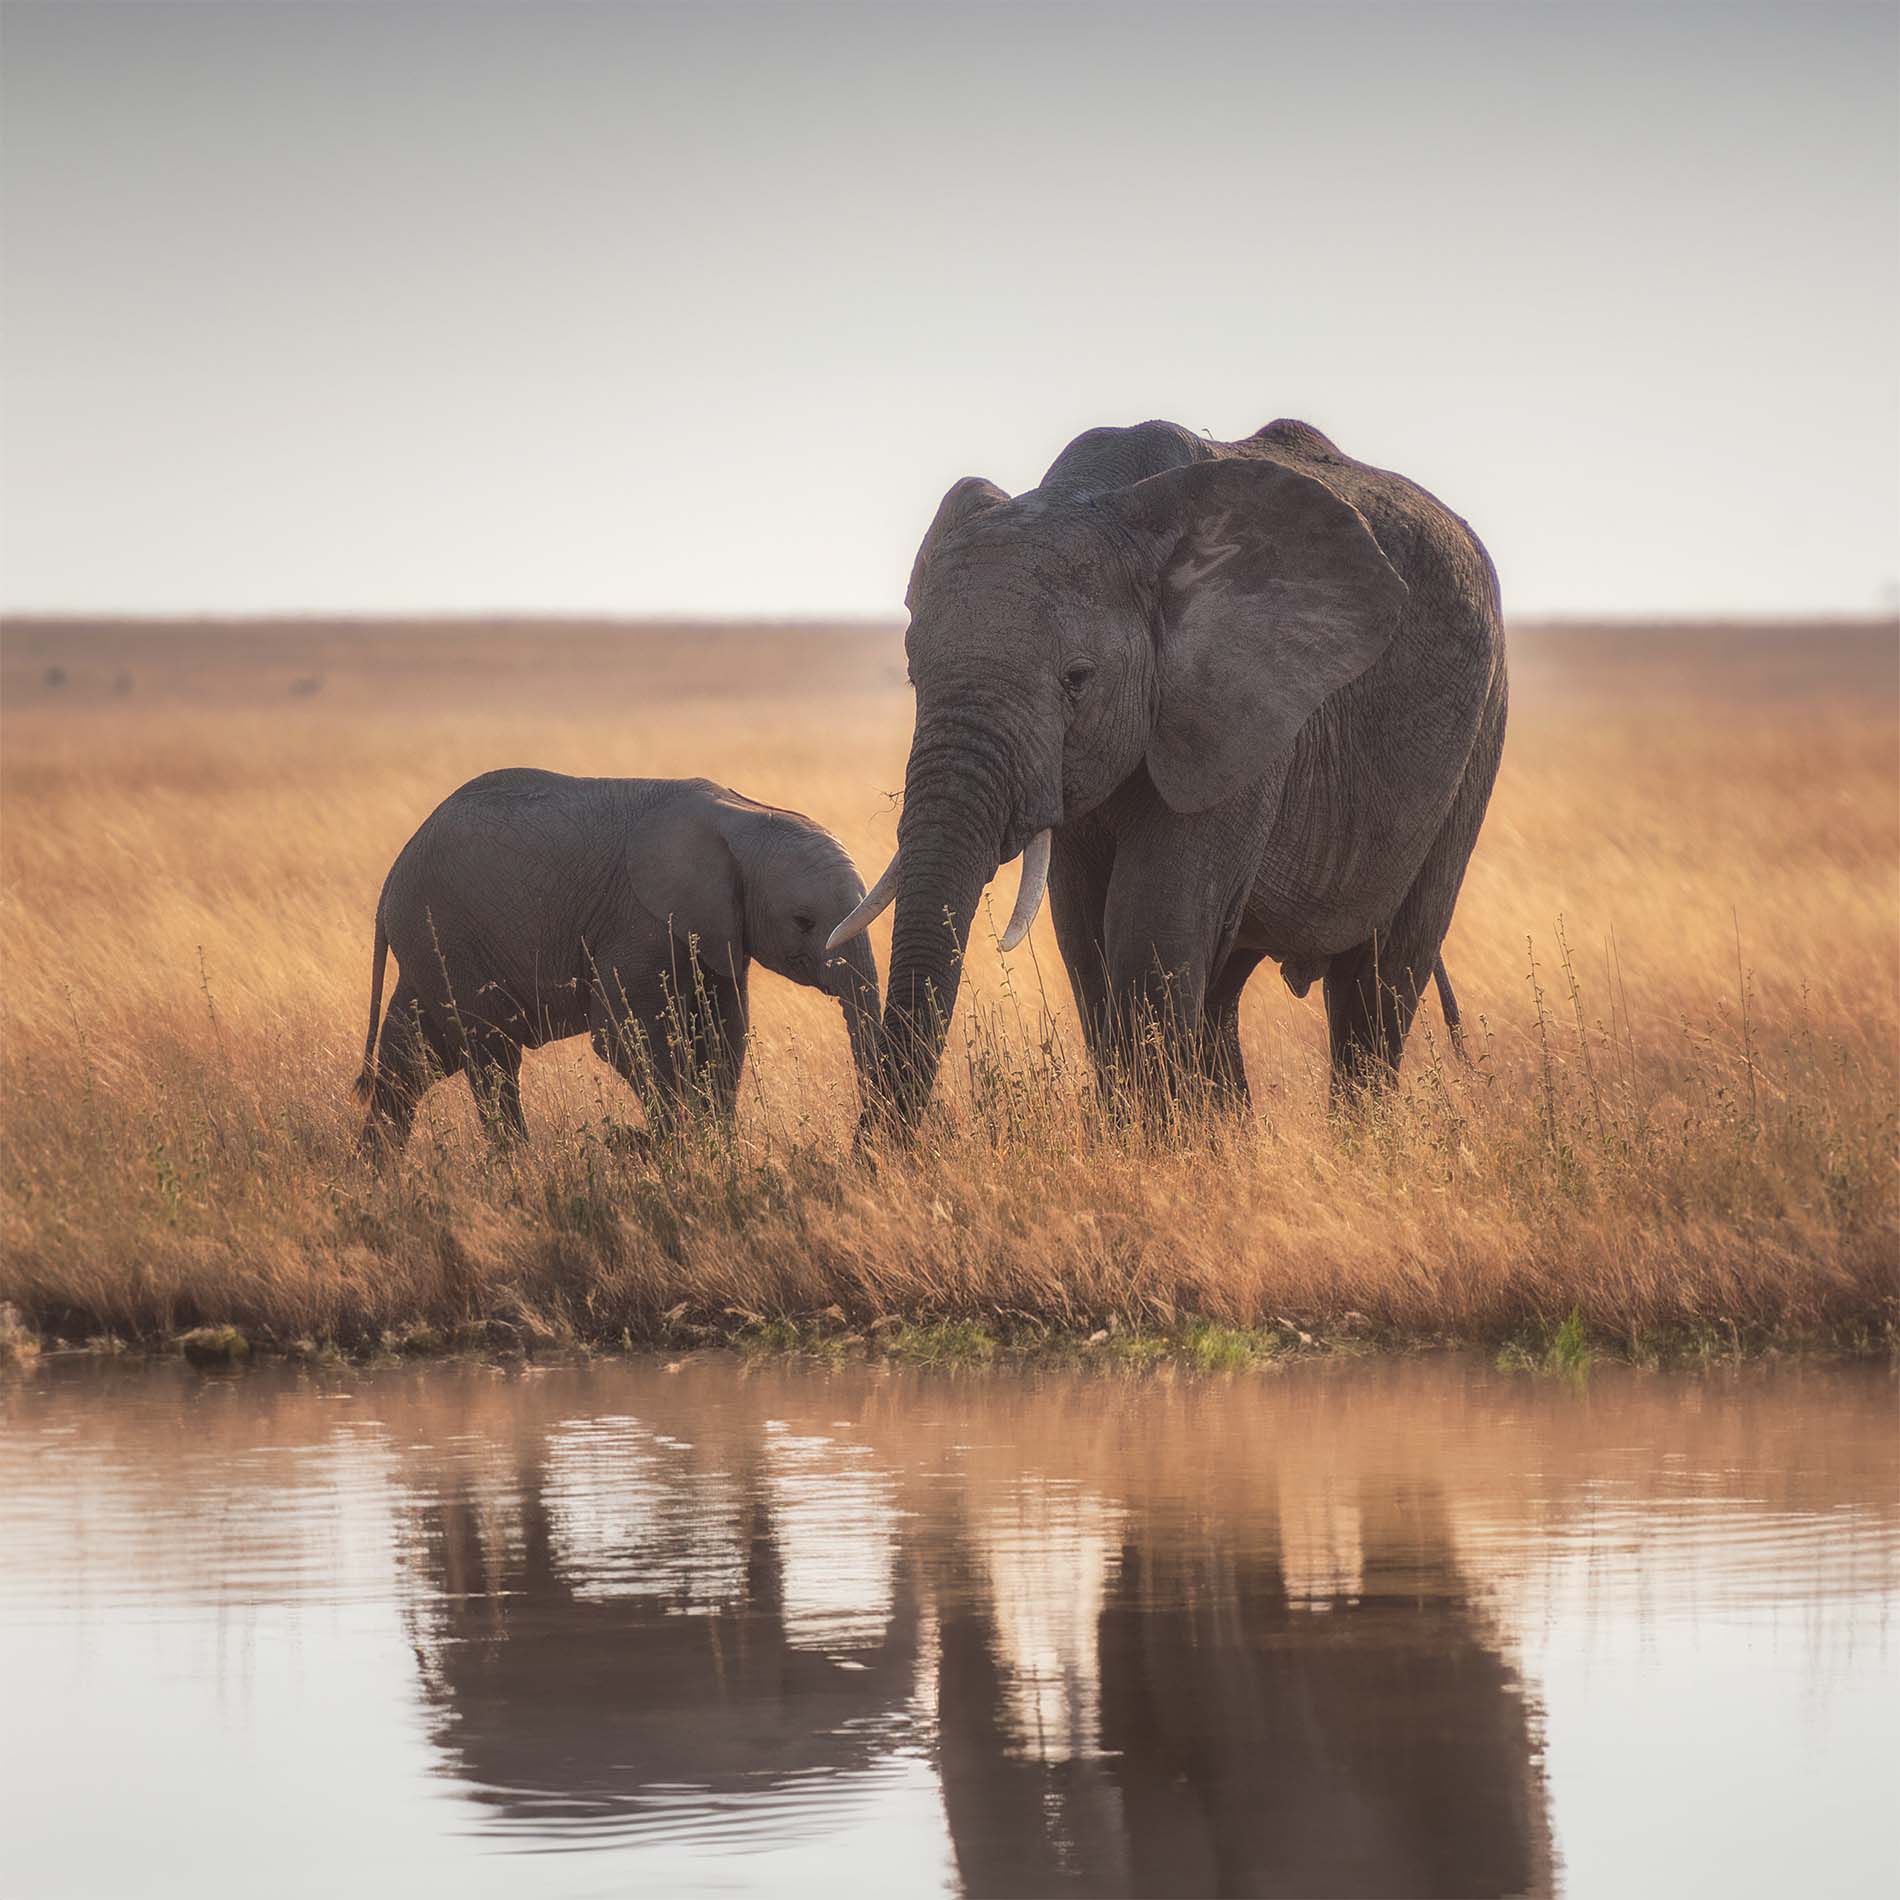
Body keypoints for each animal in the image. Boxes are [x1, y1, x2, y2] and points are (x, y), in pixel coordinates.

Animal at [357, 767, 881, 1147]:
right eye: (803, 921)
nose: (863, 1139)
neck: (745, 815)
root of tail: (392, 877)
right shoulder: (639, 921)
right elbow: (625, 1038)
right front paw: (676, 1151)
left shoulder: (716, 930)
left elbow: (723, 1034)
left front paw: (715, 1150)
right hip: (446, 934)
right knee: (491, 1054)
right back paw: (517, 1168)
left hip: (433, 945)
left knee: (412, 1058)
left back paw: (378, 1177)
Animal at [839, 419, 1504, 1109]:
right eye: (913, 673)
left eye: (1078, 679)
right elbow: (1086, 939)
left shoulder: (1240, 712)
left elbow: (1150, 931)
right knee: (1224, 992)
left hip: (1479, 733)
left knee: (1380, 981)